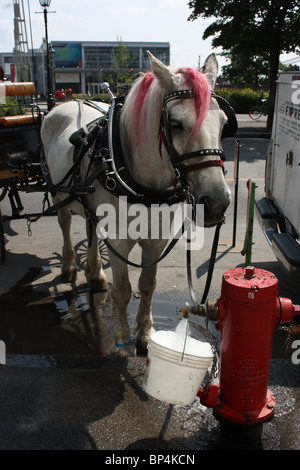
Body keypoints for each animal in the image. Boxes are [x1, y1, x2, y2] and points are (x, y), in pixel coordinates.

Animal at [40, 52, 232, 356]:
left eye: (224, 123)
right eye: (175, 124)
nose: (216, 203)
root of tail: (71, 101)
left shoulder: (156, 241)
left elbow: (148, 285)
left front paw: (145, 333)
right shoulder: (118, 243)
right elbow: (122, 290)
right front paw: (122, 339)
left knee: (91, 226)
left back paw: (94, 273)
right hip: (59, 194)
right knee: (65, 222)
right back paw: (69, 266)